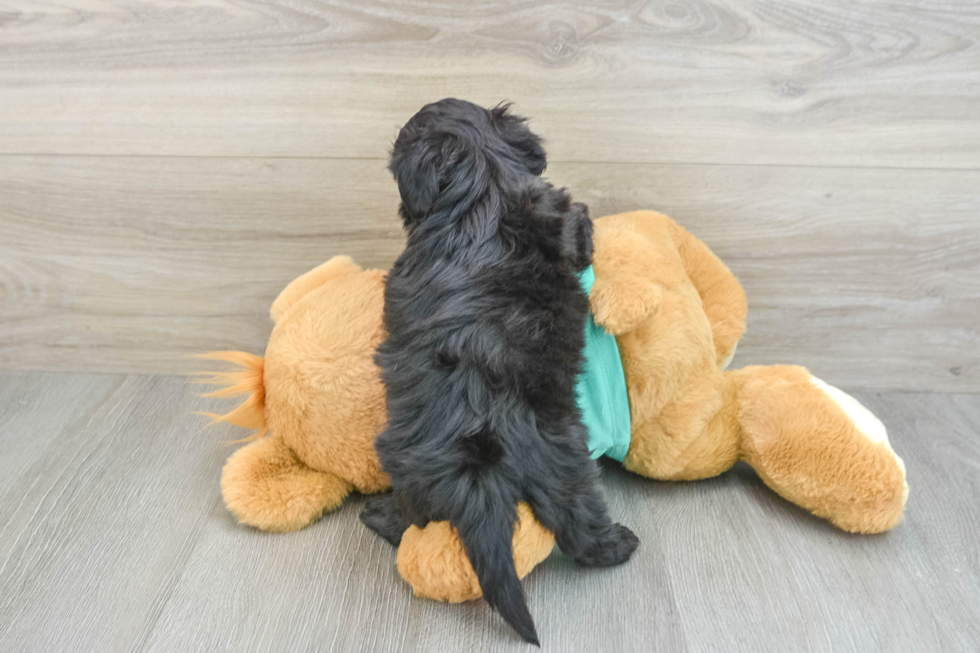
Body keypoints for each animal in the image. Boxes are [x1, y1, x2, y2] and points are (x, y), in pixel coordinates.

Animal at [358, 99, 636, 644]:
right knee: (580, 524)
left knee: (410, 519)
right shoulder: (557, 208)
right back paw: (617, 546)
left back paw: (377, 515)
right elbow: (577, 226)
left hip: (408, 468)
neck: (481, 184)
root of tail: (482, 461)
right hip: (568, 470)